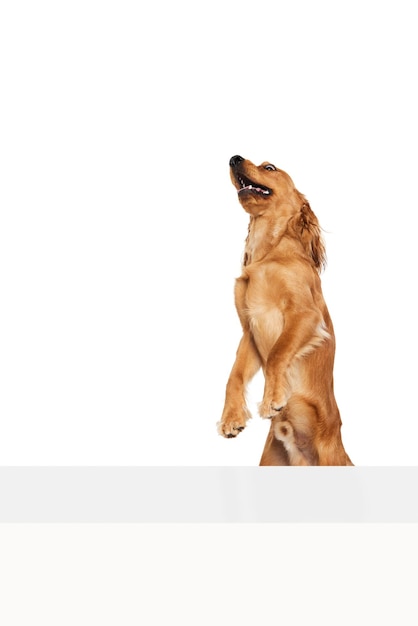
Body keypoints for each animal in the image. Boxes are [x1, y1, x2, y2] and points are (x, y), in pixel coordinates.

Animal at [219, 154, 352, 464]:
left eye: (269, 168)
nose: (234, 158)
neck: (268, 255)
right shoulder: (249, 331)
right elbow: (234, 375)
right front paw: (231, 417)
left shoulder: (305, 315)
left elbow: (277, 354)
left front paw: (272, 399)